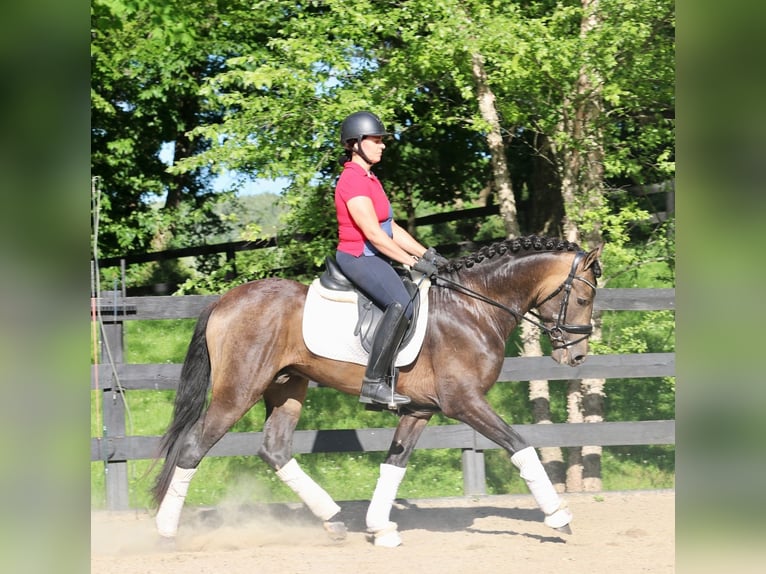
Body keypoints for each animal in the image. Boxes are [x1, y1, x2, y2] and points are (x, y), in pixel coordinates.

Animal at [151, 235, 603, 547]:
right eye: (583, 298)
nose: (577, 356)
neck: (473, 307)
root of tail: (224, 301)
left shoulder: (420, 410)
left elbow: (394, 464)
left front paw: (379, 527)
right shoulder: (465, 402)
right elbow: (519, 445)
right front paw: (559, 517)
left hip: (287, 387)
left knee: (274, 449)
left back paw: (333, 520)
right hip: (238, 391)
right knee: (193, 447)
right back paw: (166, 532)